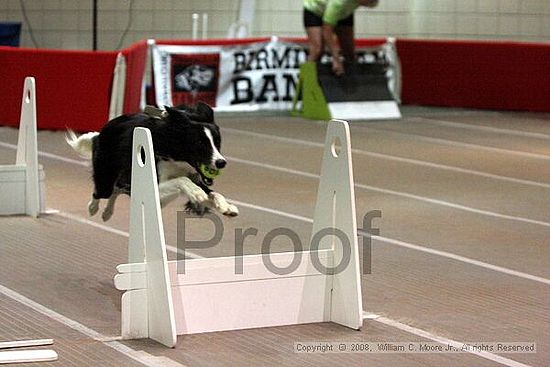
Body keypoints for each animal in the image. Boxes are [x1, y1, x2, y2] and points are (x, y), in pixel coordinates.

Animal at [66, 101, 238, 221]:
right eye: (199, 144)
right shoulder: (154, 180)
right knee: (103, 191)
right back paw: (93, 208)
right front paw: (197, 192)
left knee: (118, 189)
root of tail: (99, 134)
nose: (221, 163)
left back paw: (107, 213)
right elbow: (183, 181)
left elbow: (213, 193)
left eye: (217, 142)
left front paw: (226, 206)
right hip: (106, 177)